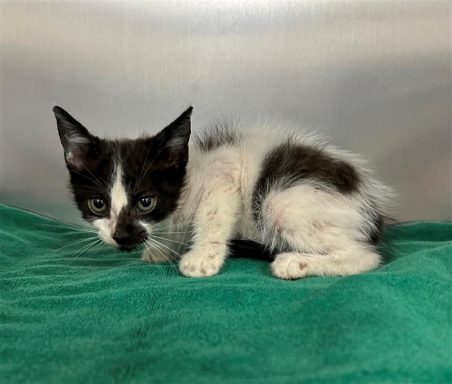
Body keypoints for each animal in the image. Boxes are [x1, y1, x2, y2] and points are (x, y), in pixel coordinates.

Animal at [53, 105, 392, 280]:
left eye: (146, 202)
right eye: (98, 204)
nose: (121, 236)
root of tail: (370, 205)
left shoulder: (223, 176)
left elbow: (213, 218)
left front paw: (202, 259)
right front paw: (164, 248)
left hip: (280, 201)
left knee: (366, 257)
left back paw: (294, 263)